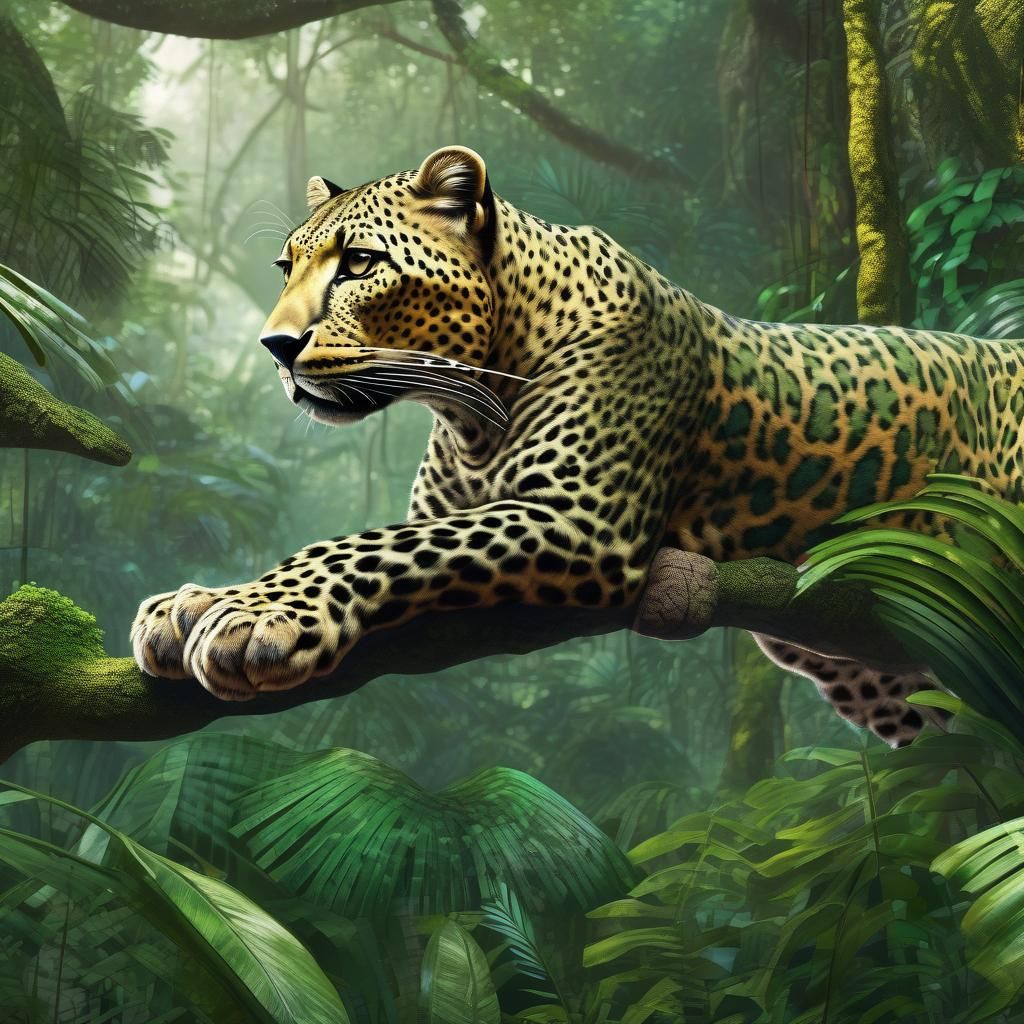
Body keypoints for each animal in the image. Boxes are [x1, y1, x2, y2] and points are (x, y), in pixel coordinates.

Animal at [131, 145, 1024, 748]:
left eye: (358, 264)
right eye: (284, 266)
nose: (275, 346)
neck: (472, 408)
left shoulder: (582, 520)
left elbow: (367, 544)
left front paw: (257, 615)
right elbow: (386, 540)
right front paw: (195, 602)